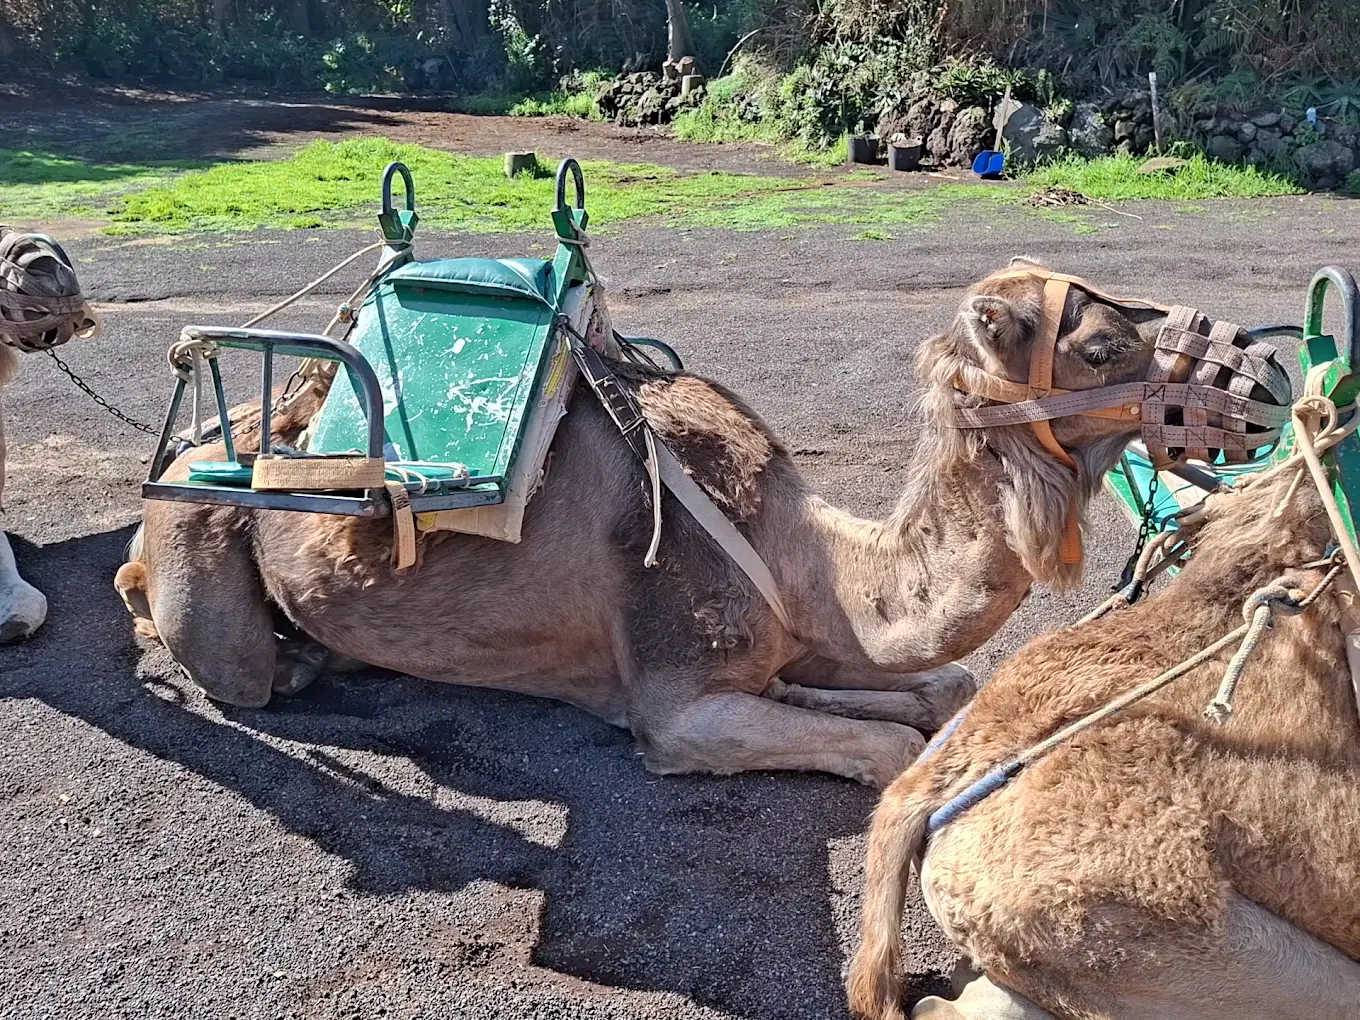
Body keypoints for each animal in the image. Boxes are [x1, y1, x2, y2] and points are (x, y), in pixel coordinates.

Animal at [116, 261, 1176, 787]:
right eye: (1102, 347)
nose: (1206, 390)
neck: (804, 559)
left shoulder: (807, 632)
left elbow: (941, 686)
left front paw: (856, 694)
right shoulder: (678, 701)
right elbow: (888, 751)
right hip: (199, 539)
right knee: (212, 651)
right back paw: (278, 660)